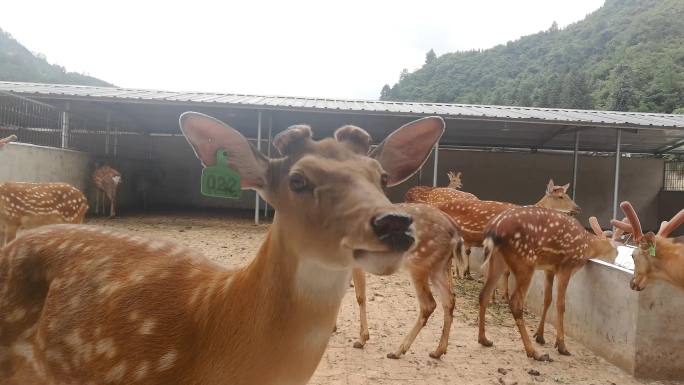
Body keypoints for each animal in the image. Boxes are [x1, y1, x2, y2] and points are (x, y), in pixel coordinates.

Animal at [352, 202, 464, 358]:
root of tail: (455, 231)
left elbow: (359, 297)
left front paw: (362, 339)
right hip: (439, 267)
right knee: (449, 300)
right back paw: (437, 351)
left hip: (418, 263)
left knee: (429, 304)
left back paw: (398, 351)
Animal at [476, 207, 620, 360]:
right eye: (616, 251)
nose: (615, 260)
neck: (587, 246)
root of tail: (493, 230)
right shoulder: (566, 267)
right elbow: (561, 304)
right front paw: (561, 346)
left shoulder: (549, 269)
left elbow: (547, 299)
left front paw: (540, 336)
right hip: (525, 261)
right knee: (515, 302)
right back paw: (534, 353)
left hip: (497, 259)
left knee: (483, 294)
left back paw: (484, 339)